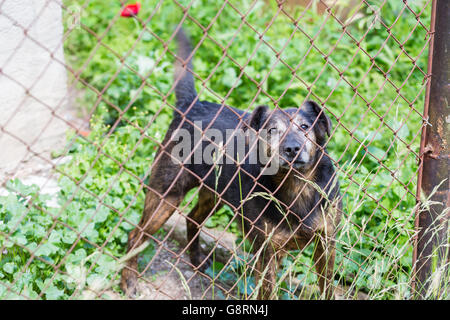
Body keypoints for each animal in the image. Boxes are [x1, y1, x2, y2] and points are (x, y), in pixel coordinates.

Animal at [119, 28, 342, 298]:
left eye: (305, 126)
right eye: (271, 130)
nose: (291, 149)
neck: (297, 186)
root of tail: (192, 105)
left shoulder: (326, 245)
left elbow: (327, 287)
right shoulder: (267, 253)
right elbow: (268, 290)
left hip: (214, 193)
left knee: (192, 219)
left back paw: (198, 261)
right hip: (166, 195)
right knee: (136, 234)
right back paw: (129, 282)